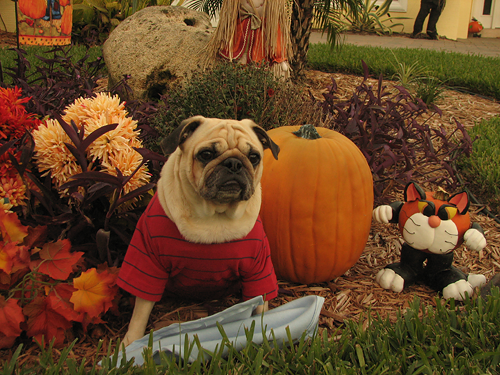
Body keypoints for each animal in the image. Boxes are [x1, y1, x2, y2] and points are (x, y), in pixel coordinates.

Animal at [117, 116, 282, 348]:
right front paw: (130, 342)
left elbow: (261, 301)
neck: (215, 215)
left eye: (254, 157)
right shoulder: (147, 261)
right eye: (206, 155)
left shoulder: (259, 266)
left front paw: (263, 328)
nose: (234, 163)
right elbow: (141, 309)